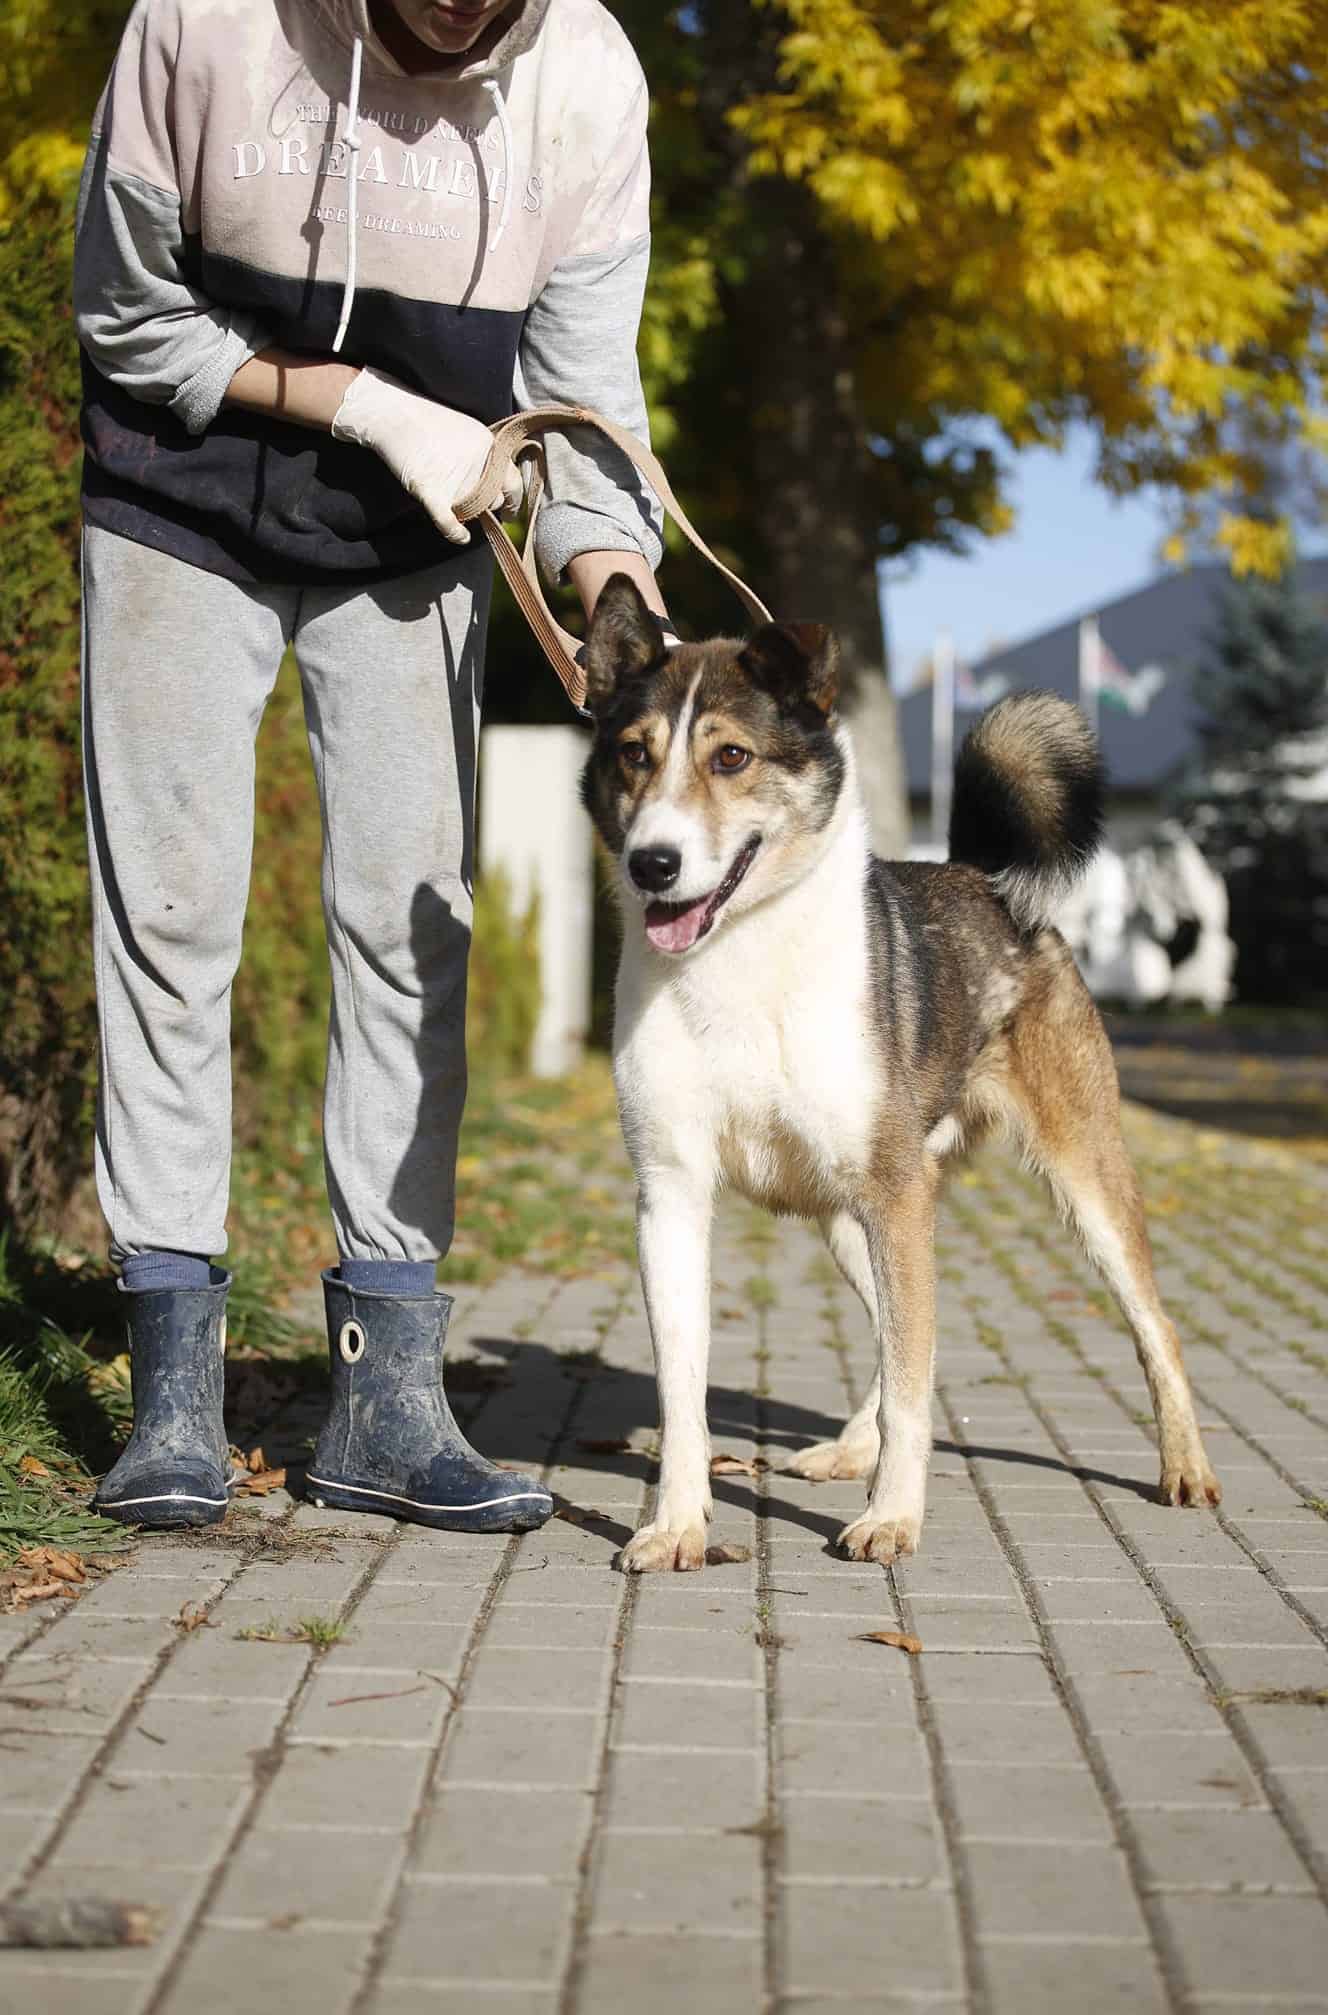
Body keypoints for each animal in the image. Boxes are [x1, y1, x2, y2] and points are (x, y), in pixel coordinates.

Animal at [579, 575, 1221, 1572]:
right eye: (633, 754)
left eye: (732, 756)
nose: (655, 862)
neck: (740, 961)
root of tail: (989, 879)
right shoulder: (671, 1193)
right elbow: (683, 1393)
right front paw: (678, 1523)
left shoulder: (894, 1191)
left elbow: (916, 1382)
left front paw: (894, 1516)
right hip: (857, 1218)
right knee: (903, 1339)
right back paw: (850, 1447)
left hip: (1067, 1183)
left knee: (1152, 1327)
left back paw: (1184, 1466)